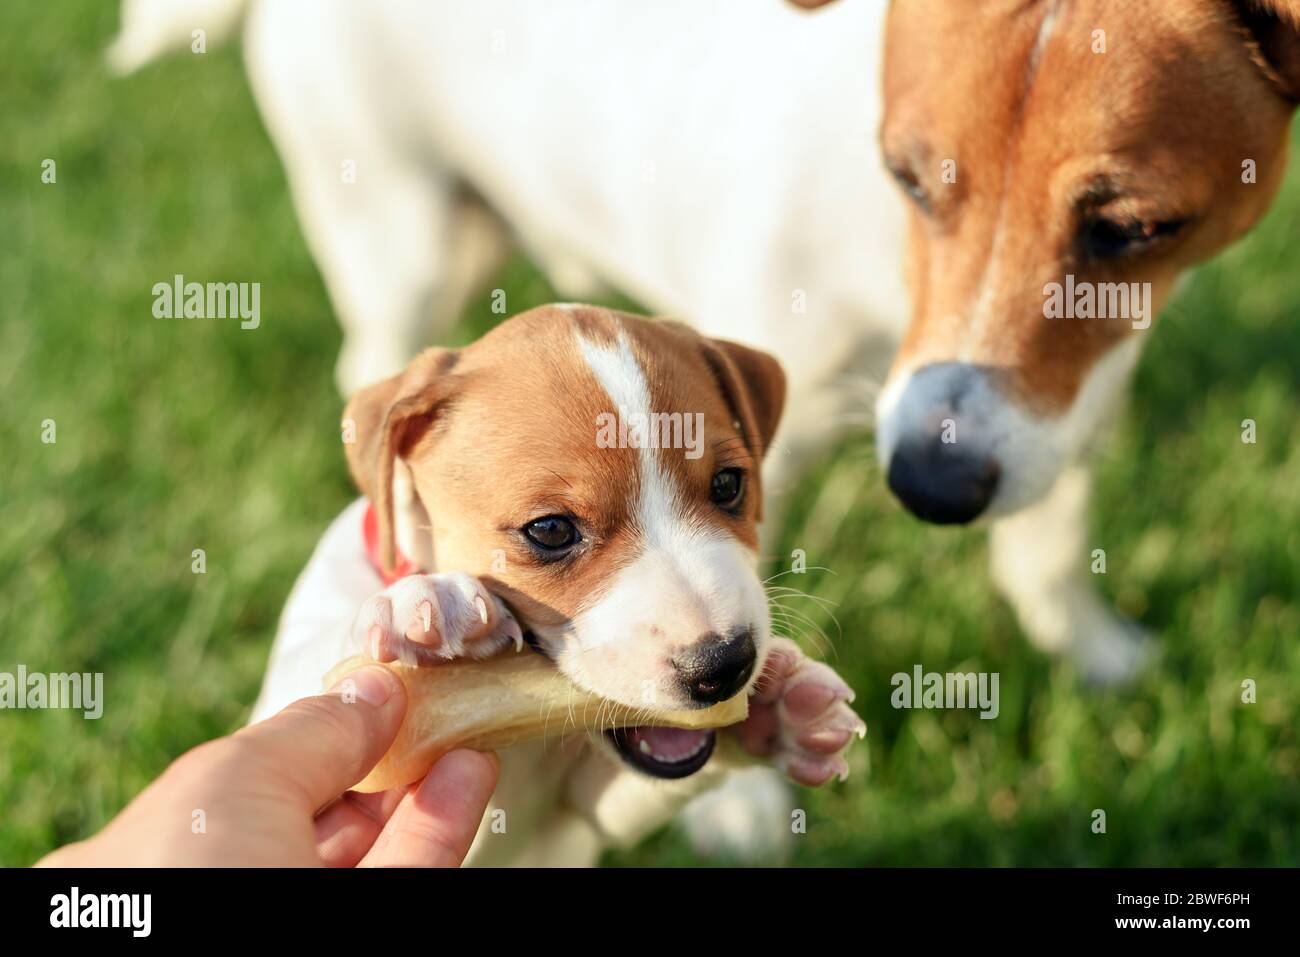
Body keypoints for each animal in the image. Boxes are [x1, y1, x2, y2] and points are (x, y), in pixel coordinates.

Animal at [249, 306, 868, 868]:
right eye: (550, 530)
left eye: (728, 484)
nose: (724, 667)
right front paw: (426, 608)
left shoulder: (588, 815)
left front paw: (783, 714)